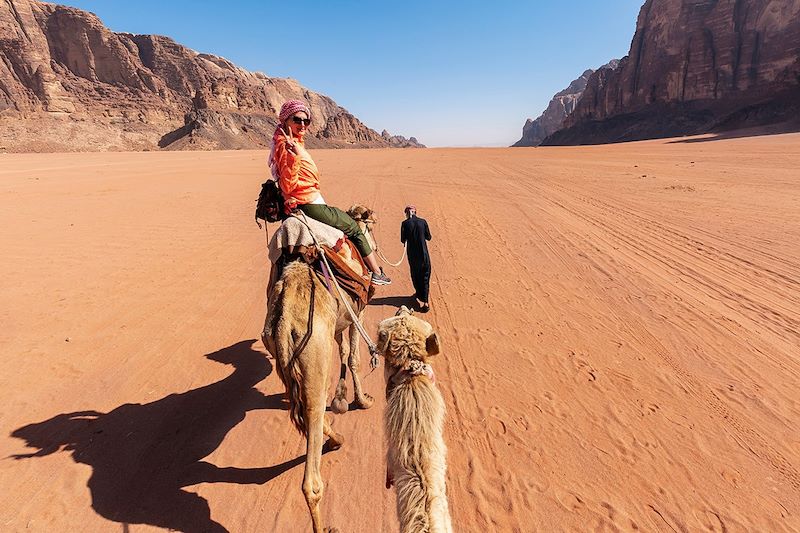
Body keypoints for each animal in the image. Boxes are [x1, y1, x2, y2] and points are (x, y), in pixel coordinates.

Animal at [262, 234, 376, 532]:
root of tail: (285, 320)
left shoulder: (338, 324)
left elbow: (344, 351)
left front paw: (345, 397)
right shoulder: (356, 314)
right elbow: (354, 357)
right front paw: (362, 400)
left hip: (284, 355)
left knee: (312, 407)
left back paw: (337, 438)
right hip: (315, 350)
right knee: (311, 478)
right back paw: (323, 525)